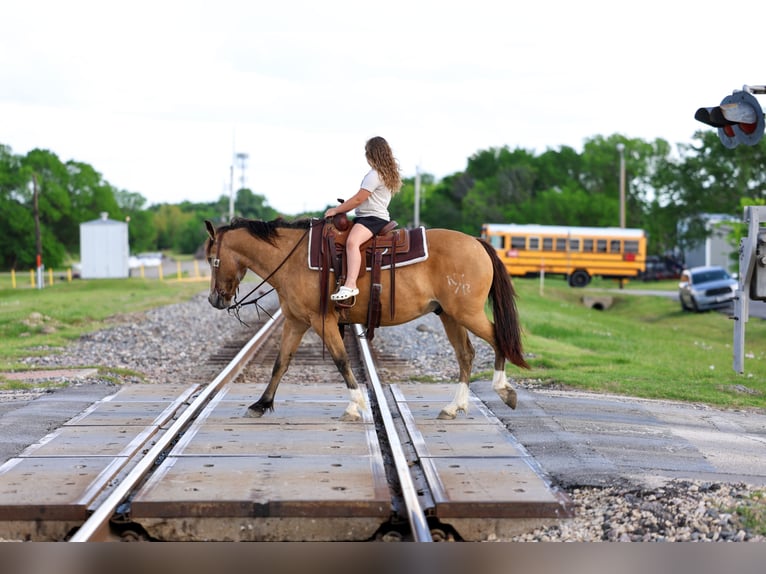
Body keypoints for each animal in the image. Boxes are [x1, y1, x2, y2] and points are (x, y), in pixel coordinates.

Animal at [204, 217, 529, 422]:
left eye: (210, 259)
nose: (214, 300)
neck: (292, 259)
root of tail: (477, 241)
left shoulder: (321, 320)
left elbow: (341, 360)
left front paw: (355, 405)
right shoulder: (296, 321)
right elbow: (280, 363)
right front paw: (261, 404)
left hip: (466, 313)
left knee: (498, 339)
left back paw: (503, 390)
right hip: (450, 315)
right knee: (466, 354)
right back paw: (453, 407)